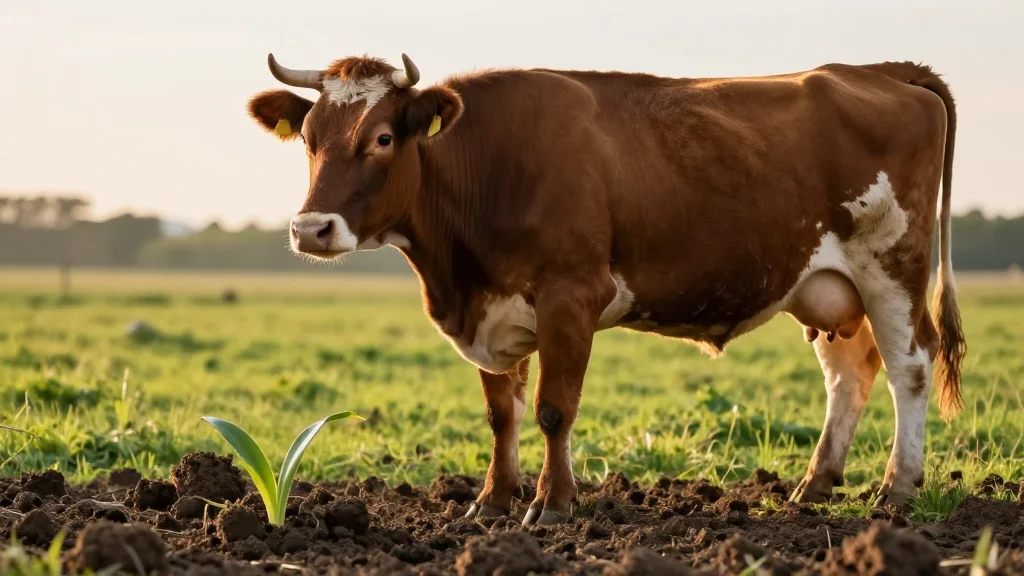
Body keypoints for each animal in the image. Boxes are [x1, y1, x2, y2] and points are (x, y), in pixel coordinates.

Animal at [246, 52, 966, 525]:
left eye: (383, 137)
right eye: (307, 140)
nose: (311, 229)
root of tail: (878, 69)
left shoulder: (572, 296)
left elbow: (553, 409)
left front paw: (552, 505)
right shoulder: (493, 312)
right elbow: (501, 413)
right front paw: (492, 501)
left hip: (891, 266)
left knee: (908, 367)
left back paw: (898, 489)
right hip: (825, 284)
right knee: (849, 372)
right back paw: (815, 485)